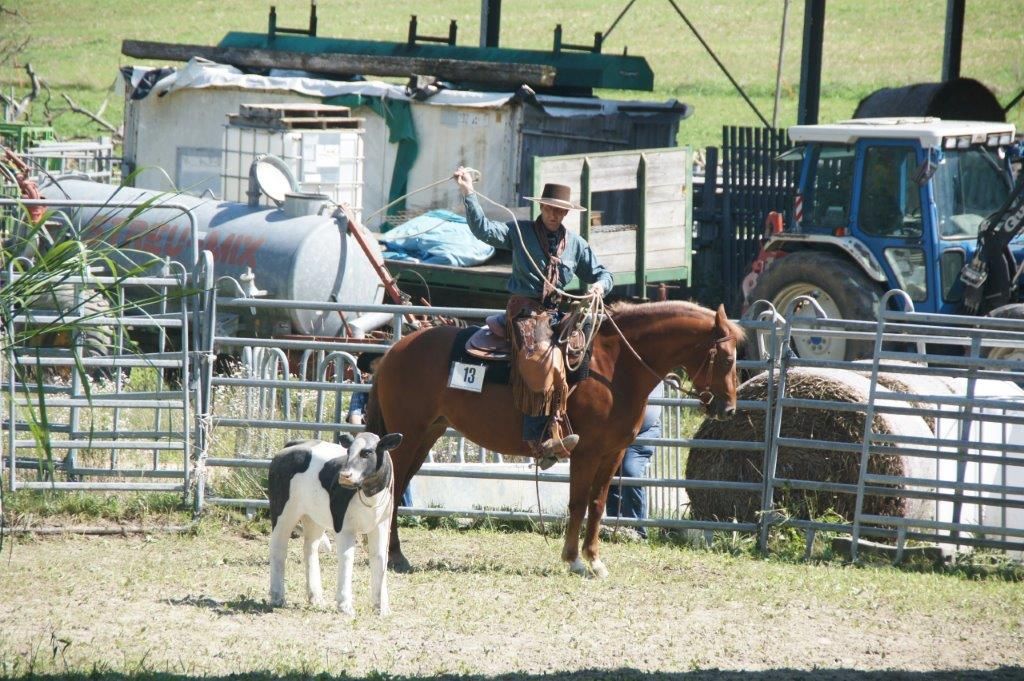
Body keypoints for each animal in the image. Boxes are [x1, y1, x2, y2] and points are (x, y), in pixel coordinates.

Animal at [365, 300, 744, 577]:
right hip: (409, 437)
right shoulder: (586, 452)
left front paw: (595, 560)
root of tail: (394, 351)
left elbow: (597, 504)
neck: (615, 366)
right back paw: (394, 555)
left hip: (426, 435)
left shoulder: (613, 452)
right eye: (726, 358)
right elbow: (577, 503)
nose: (728, 409)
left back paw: (394, 554)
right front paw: (574, 559)